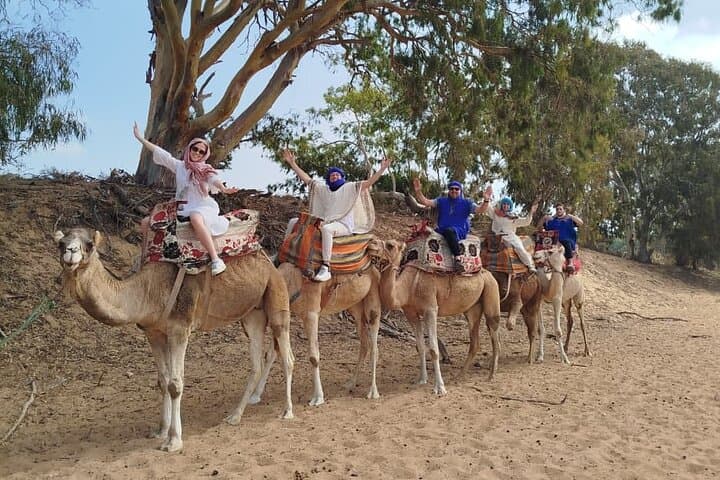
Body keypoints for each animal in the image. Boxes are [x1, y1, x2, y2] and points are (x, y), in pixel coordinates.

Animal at [54, 228, 294, 453]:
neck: (147, 292)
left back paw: (287, 411)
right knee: (256, 362)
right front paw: (161, 430)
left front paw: (173, 441)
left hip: (276, 296)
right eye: (61, 243)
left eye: (89, 244)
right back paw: (234, 416)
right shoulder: (155, 333)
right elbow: (163, 381)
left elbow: (175, 384)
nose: (70, 252)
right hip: (252, 315)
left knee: (287, 356)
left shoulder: (179, 329)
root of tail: (269, 261)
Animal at [377, 239, 502, 395]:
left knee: (494, 334)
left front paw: (440, 388)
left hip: (491, 292)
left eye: (390, 245)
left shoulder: (430, 309)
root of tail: (488, 274)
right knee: (475, 341)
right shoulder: (410, 313)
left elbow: (433, 349)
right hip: (472, 309)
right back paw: (459, 376)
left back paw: (491, 375)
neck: (409, 286)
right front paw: (422, 380)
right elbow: (420, 346)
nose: (374, 251)